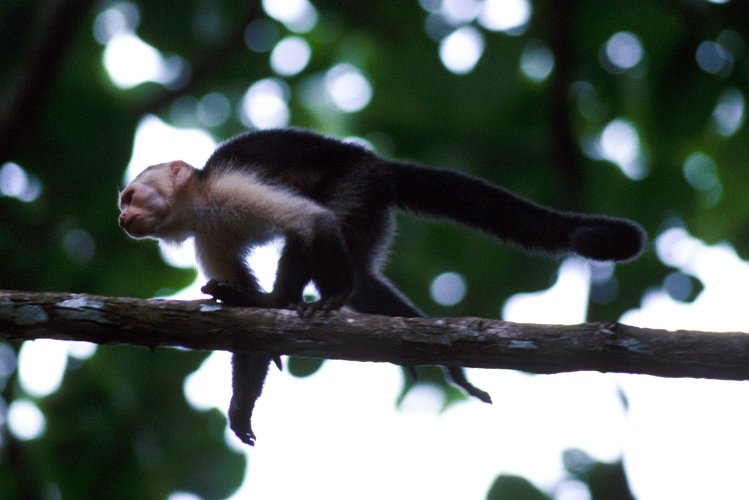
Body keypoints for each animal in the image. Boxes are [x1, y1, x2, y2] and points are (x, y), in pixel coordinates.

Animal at [117, 128, 644, 446]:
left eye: (130, 196)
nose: (122, 218)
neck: (201, 200)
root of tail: (378, 163)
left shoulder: (229, 186)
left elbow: (310, 224)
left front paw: (279, 301)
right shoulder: (206, 234)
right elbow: (244, 328)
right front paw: (243, 403)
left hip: (357, 186)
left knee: (320, 228)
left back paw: (296, 299)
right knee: (365, 284)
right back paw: (442, 357)